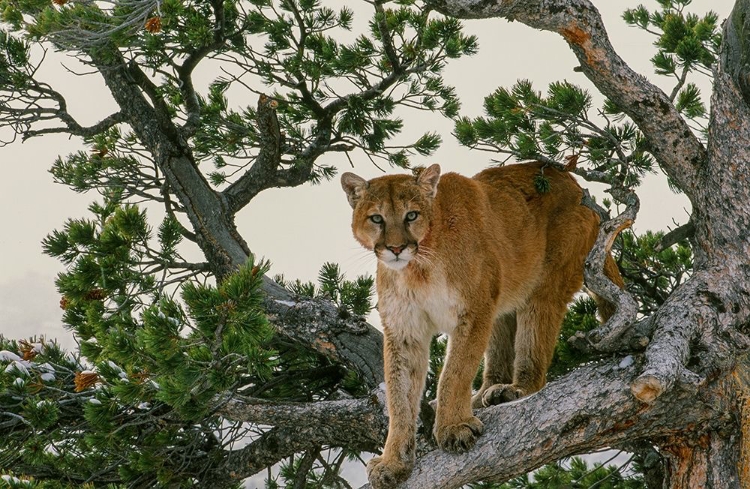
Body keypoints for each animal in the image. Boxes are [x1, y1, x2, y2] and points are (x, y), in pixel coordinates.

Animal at [340, 160, 624, 484]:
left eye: (411, 215)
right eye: (376, 218)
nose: (396, 248)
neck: (418, 268)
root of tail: (572, 182)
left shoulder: (473, 312)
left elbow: (455, 373)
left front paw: (452, 428)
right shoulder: (404, 331)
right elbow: (400, 397)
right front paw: (393, 462)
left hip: (543, 288)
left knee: (534, 359)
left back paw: (515, 390)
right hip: (500, 301)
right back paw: (484, 395)